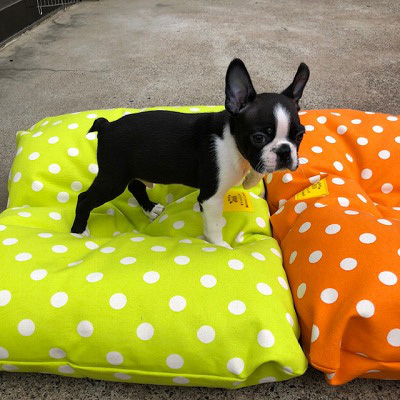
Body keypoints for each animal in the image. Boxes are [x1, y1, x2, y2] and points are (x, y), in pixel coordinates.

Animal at [71, 59, 309, 247]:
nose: (285, 152)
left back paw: (150, 208)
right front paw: (219, 246)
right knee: (85, 198)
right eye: (258, 138)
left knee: (136, 186)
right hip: (113, 178)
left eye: (300, 136)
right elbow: (214, 225)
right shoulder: (211, 197)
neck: (232, 142)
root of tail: (107, 126)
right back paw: (78, 232)